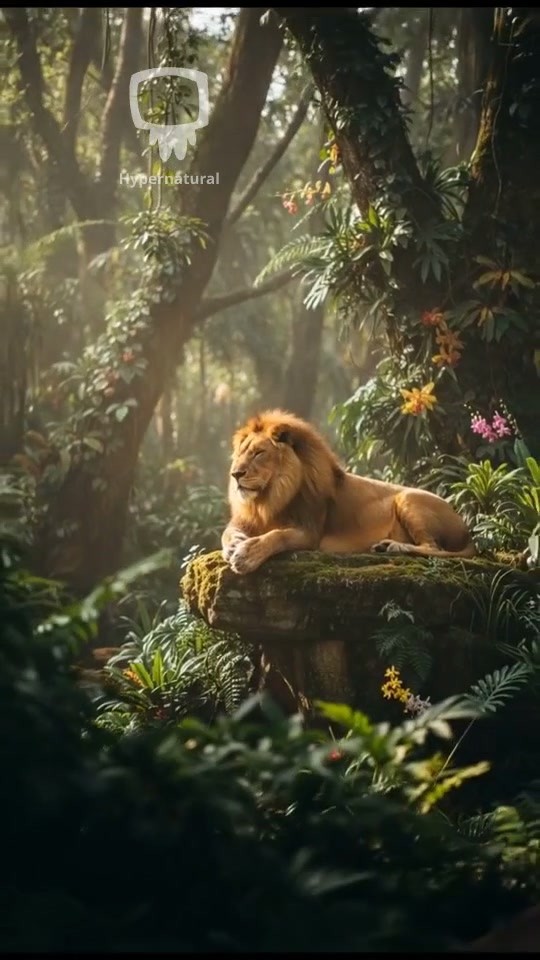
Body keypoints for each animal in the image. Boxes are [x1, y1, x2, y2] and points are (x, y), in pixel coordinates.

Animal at [221, 409, 475, 575]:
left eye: (259, 453)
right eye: (241, 452)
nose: (235, 474)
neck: (269, 498)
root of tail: (467, 532)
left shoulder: (310, 532)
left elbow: (277, 535)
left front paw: (247, 554)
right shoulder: (244, 520)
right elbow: (226, 534)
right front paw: (234, 544)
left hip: (408, 497)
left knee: (433, 548)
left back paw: (394, 546)